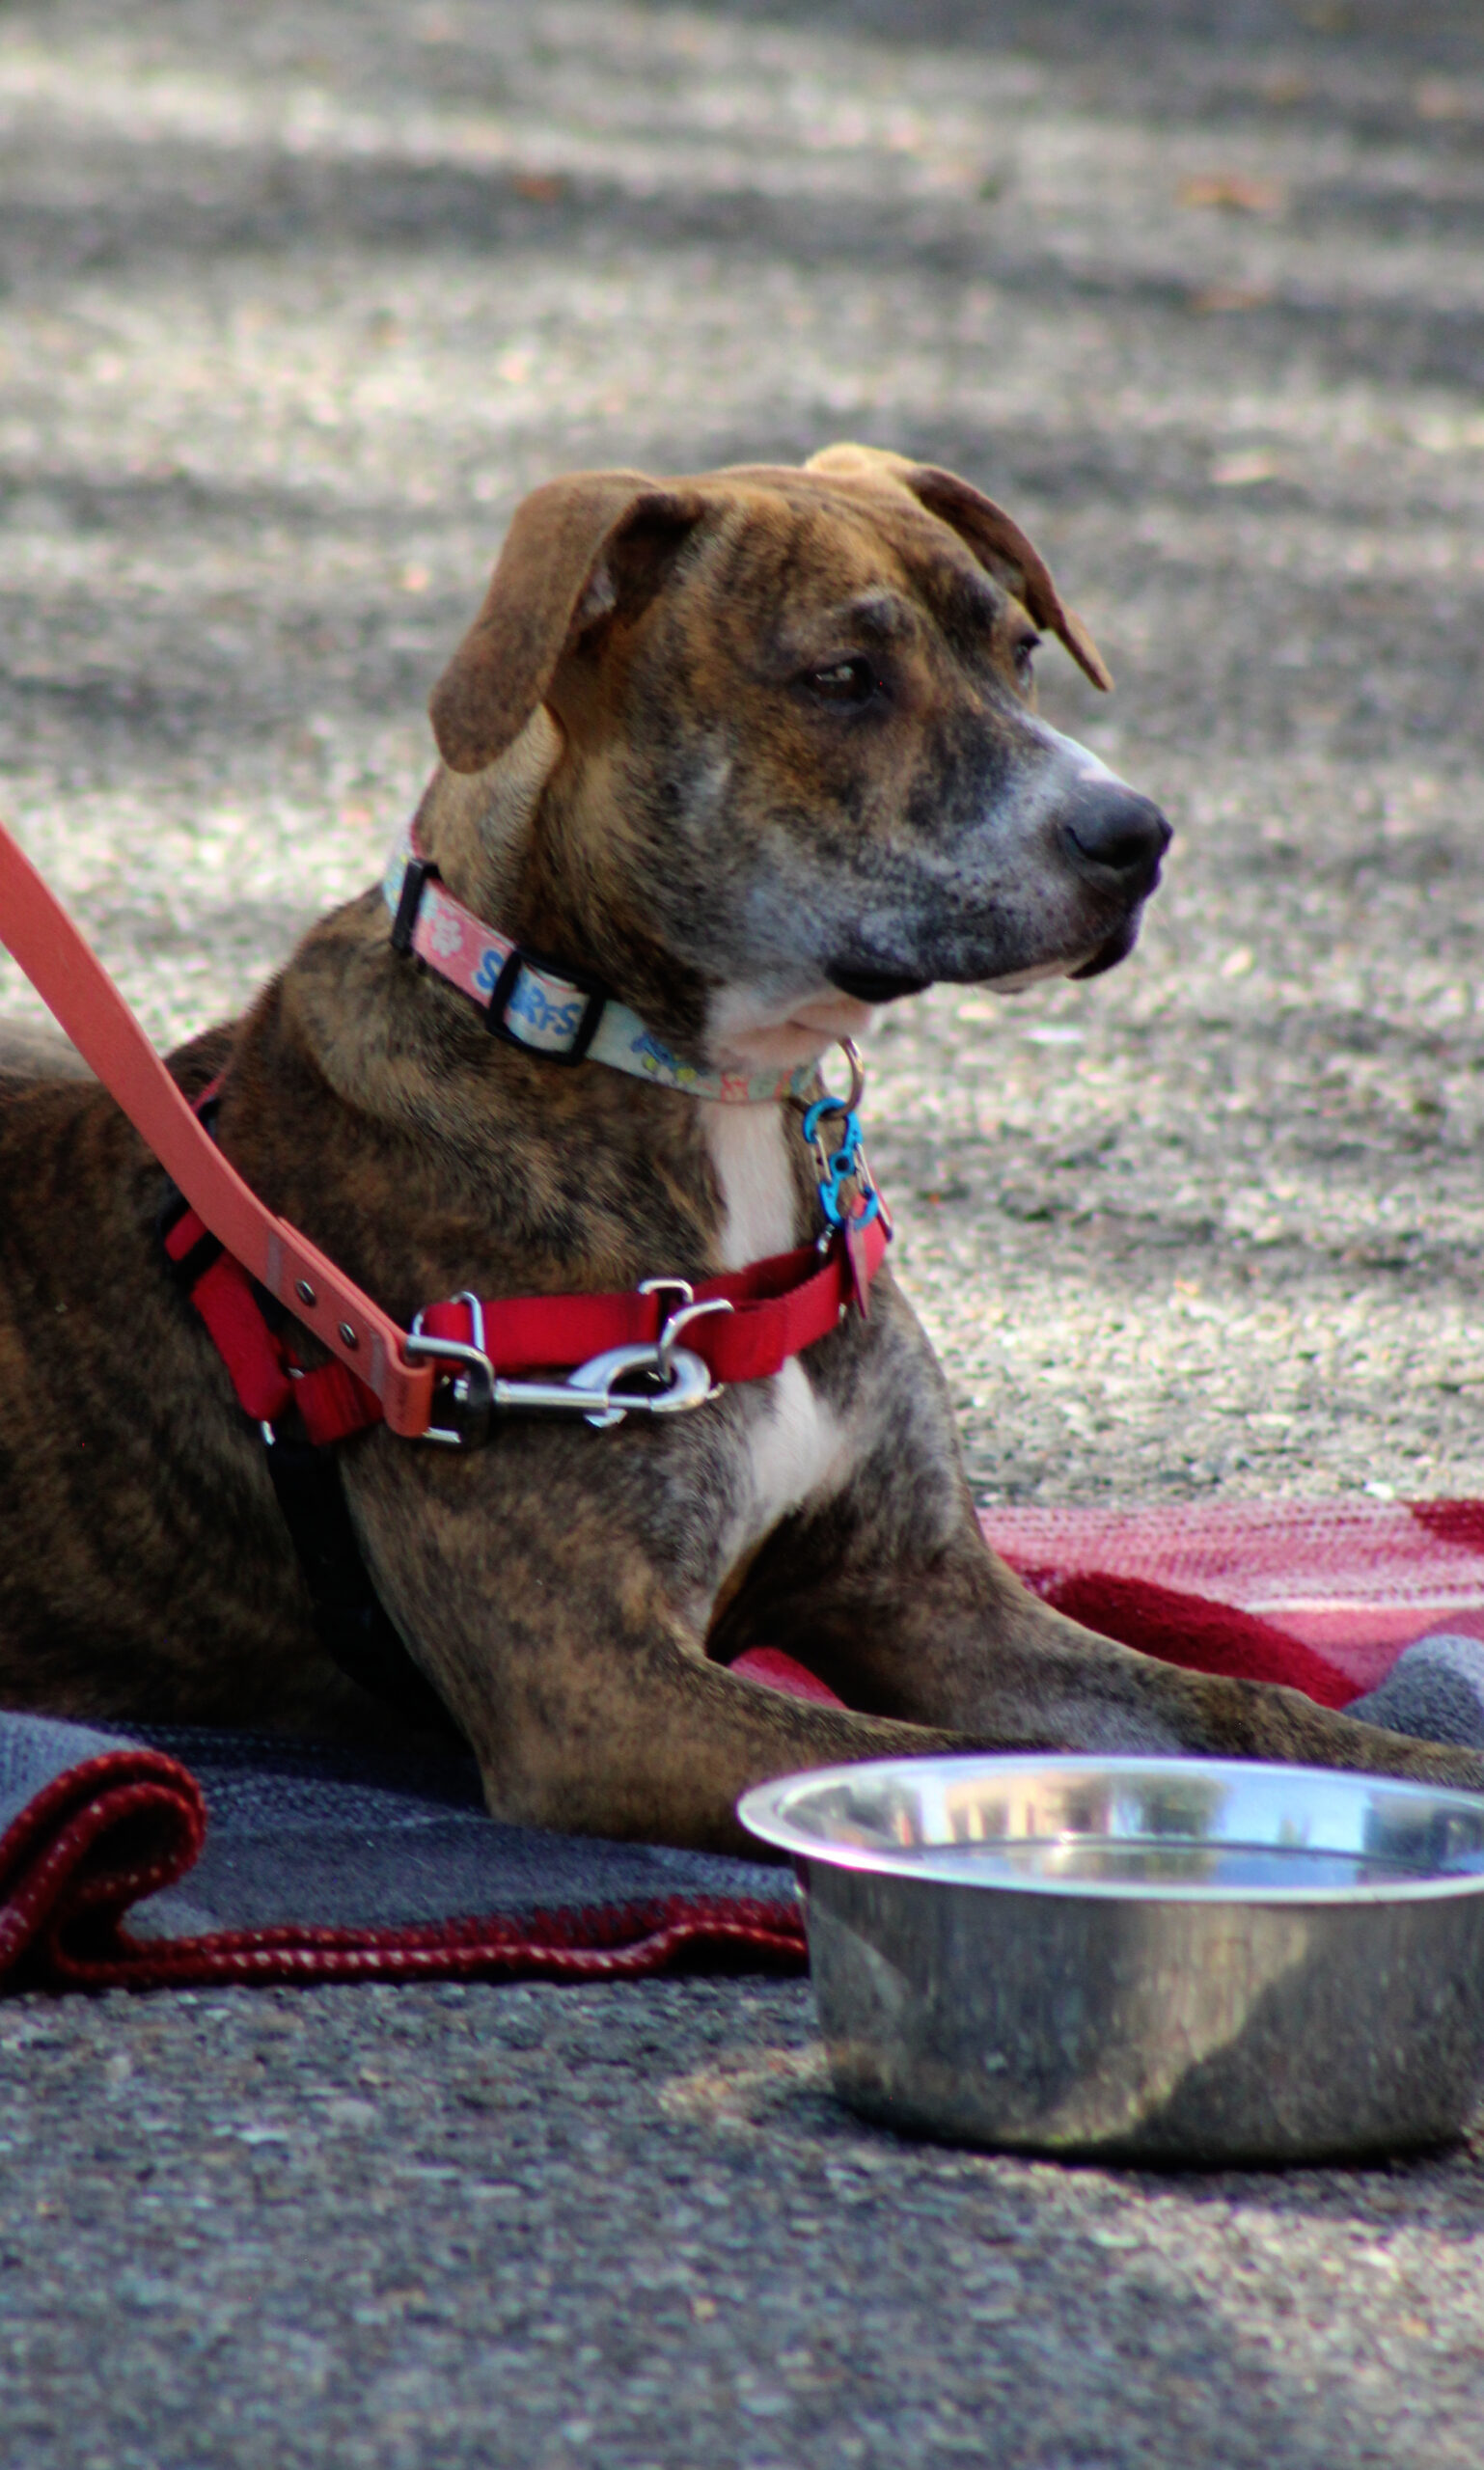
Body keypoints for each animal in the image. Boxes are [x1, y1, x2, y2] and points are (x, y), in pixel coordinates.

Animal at [5, 444, 1471, 1847]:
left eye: (1017, 651)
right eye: (840, 678)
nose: (1137, 837)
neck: (700, 1093)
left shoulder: (925, 1590)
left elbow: (1246, 1704)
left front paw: (1429, 1776)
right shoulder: (598, 1688)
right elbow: (922, 1763)